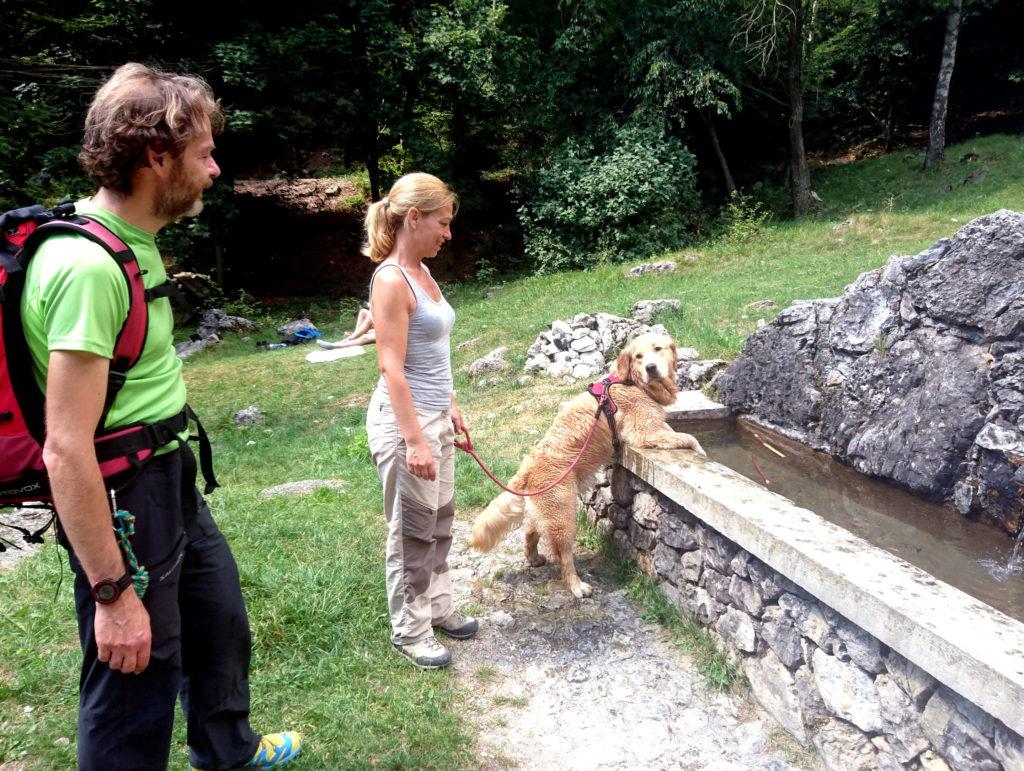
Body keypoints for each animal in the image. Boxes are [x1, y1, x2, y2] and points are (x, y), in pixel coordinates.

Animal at [468, 331, 704, 593]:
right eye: (639, 356)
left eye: (658, 349)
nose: (651, 368)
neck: (632, 383)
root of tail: (526, 470)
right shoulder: (644, 433)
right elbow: (689, 437)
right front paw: (701, 451)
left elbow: (674, 430)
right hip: (563, 515)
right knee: (562, 556)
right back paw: (577, 586)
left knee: (530, 530)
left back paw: (534, 558)